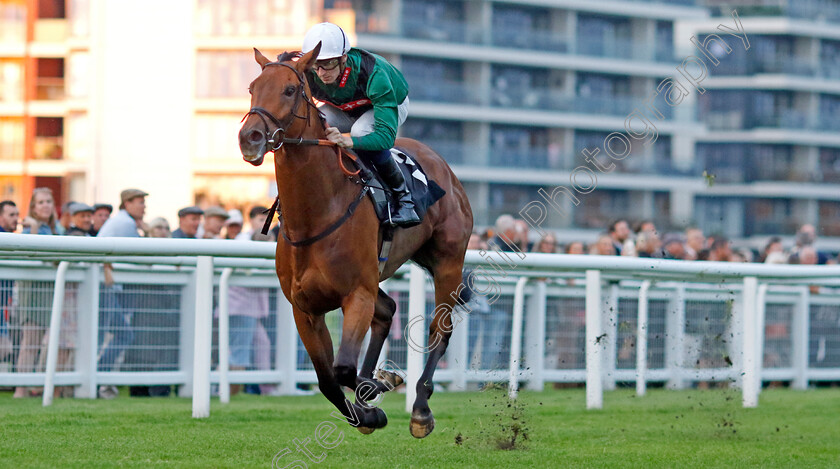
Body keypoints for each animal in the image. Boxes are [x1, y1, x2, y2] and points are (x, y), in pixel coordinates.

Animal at [238, 44, 472, 436]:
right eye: (253, 88)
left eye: (290, 89)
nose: (249, 138)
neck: (317, 214)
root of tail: (445, 169)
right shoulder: (305, 308)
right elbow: (327, 379)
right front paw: (368, 403)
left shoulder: (356, 295)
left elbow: (342, 368)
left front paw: (374, 398)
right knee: (388, 311)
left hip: (447, 262)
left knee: (440, 328)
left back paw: (420, 409)